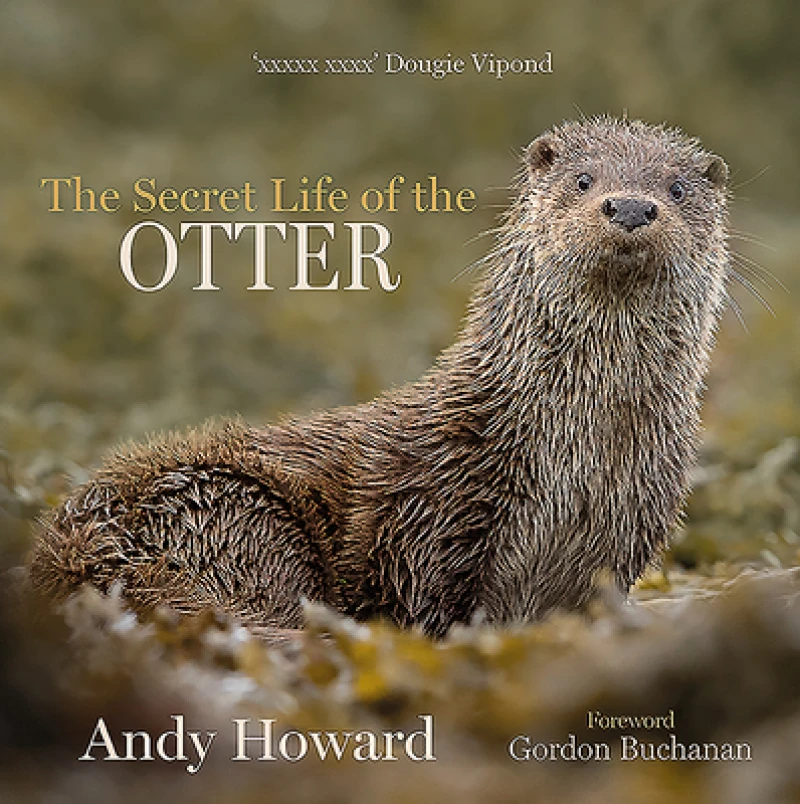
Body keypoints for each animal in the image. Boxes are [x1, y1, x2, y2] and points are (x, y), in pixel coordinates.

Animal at [28, 118, 730, 638]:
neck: (580, 457)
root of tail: (69, 548)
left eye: (676, 189)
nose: (631, 207)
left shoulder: (626, 531)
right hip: (231, 513)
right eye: (583, 179)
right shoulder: (429, 518)